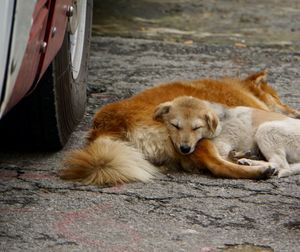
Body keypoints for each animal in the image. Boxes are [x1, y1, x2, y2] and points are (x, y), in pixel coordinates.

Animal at [156, 95, 300, 178]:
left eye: (196, 128)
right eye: (175, 126)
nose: (184, 149)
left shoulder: (223, 143)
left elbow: (222, 158)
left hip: (267, 130)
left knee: (281, 163)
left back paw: (251, 163)